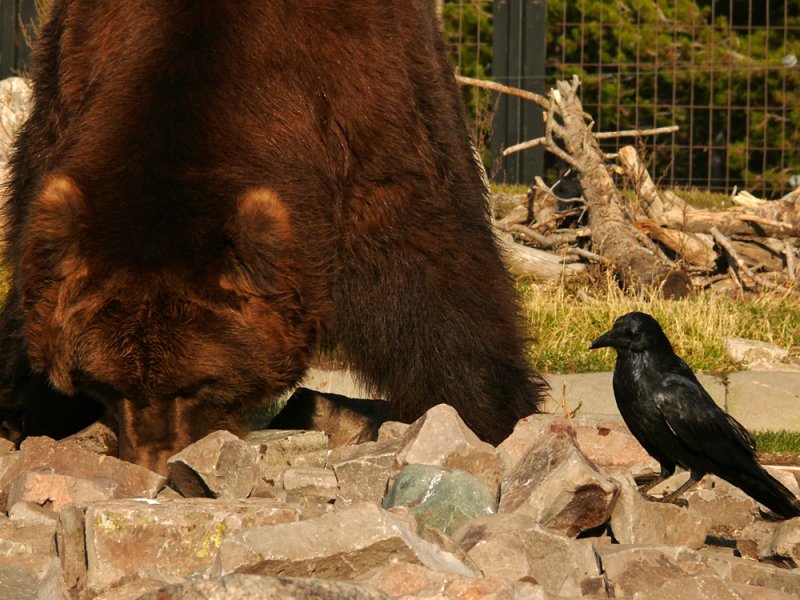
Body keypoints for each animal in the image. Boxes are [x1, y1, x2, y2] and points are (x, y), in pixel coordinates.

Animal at [0, 0, 548, 474]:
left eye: (199, 384)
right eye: (105, 383)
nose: (155, 461)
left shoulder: (370, 97)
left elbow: (426, 261)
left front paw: (486, 412)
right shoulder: (73, 72)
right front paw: (25, 407)